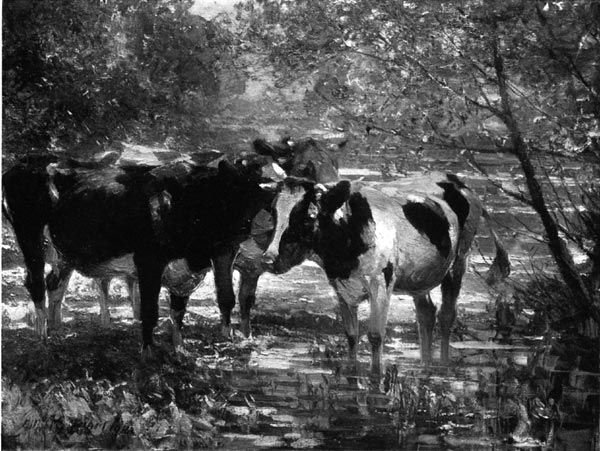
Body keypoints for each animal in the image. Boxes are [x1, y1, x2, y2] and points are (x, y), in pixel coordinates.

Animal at [264, 172, 510, 374]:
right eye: (273, 214)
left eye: (308, 217)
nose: (269, 258)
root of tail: (455, 179)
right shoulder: (341, 287)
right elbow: (351, 335)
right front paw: (352, 373)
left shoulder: (381, 283)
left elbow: (375, 335)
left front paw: (376, 379)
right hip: (419, 277)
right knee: (426, 314)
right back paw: (425, 366)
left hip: (459, 261)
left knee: (446, 315)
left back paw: (443, 367)